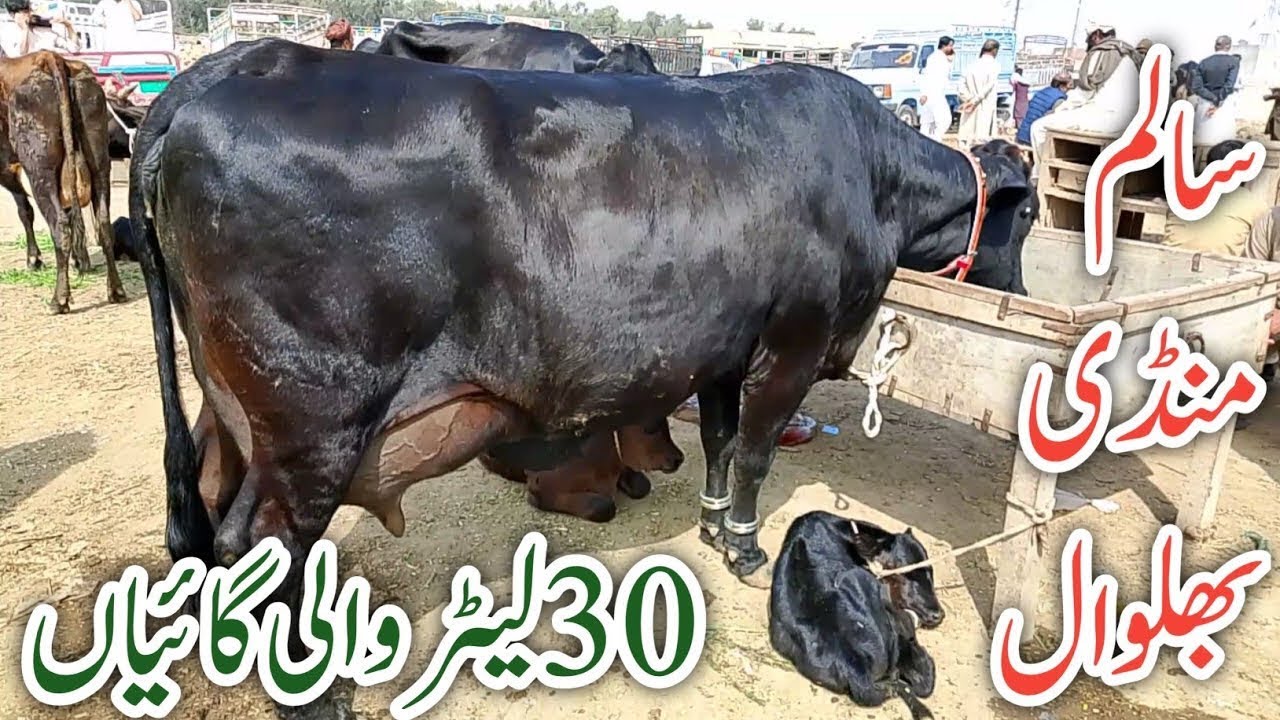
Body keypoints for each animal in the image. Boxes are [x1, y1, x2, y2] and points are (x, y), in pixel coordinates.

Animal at [1, 51, 124, 312]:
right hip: (99, 162)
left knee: (59, 226)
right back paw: (116, 290)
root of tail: (50, 57)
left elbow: (24, 210)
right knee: (103, 222)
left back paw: (59, 299)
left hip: (40, 170)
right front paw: (81, 260)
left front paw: (34, 259)